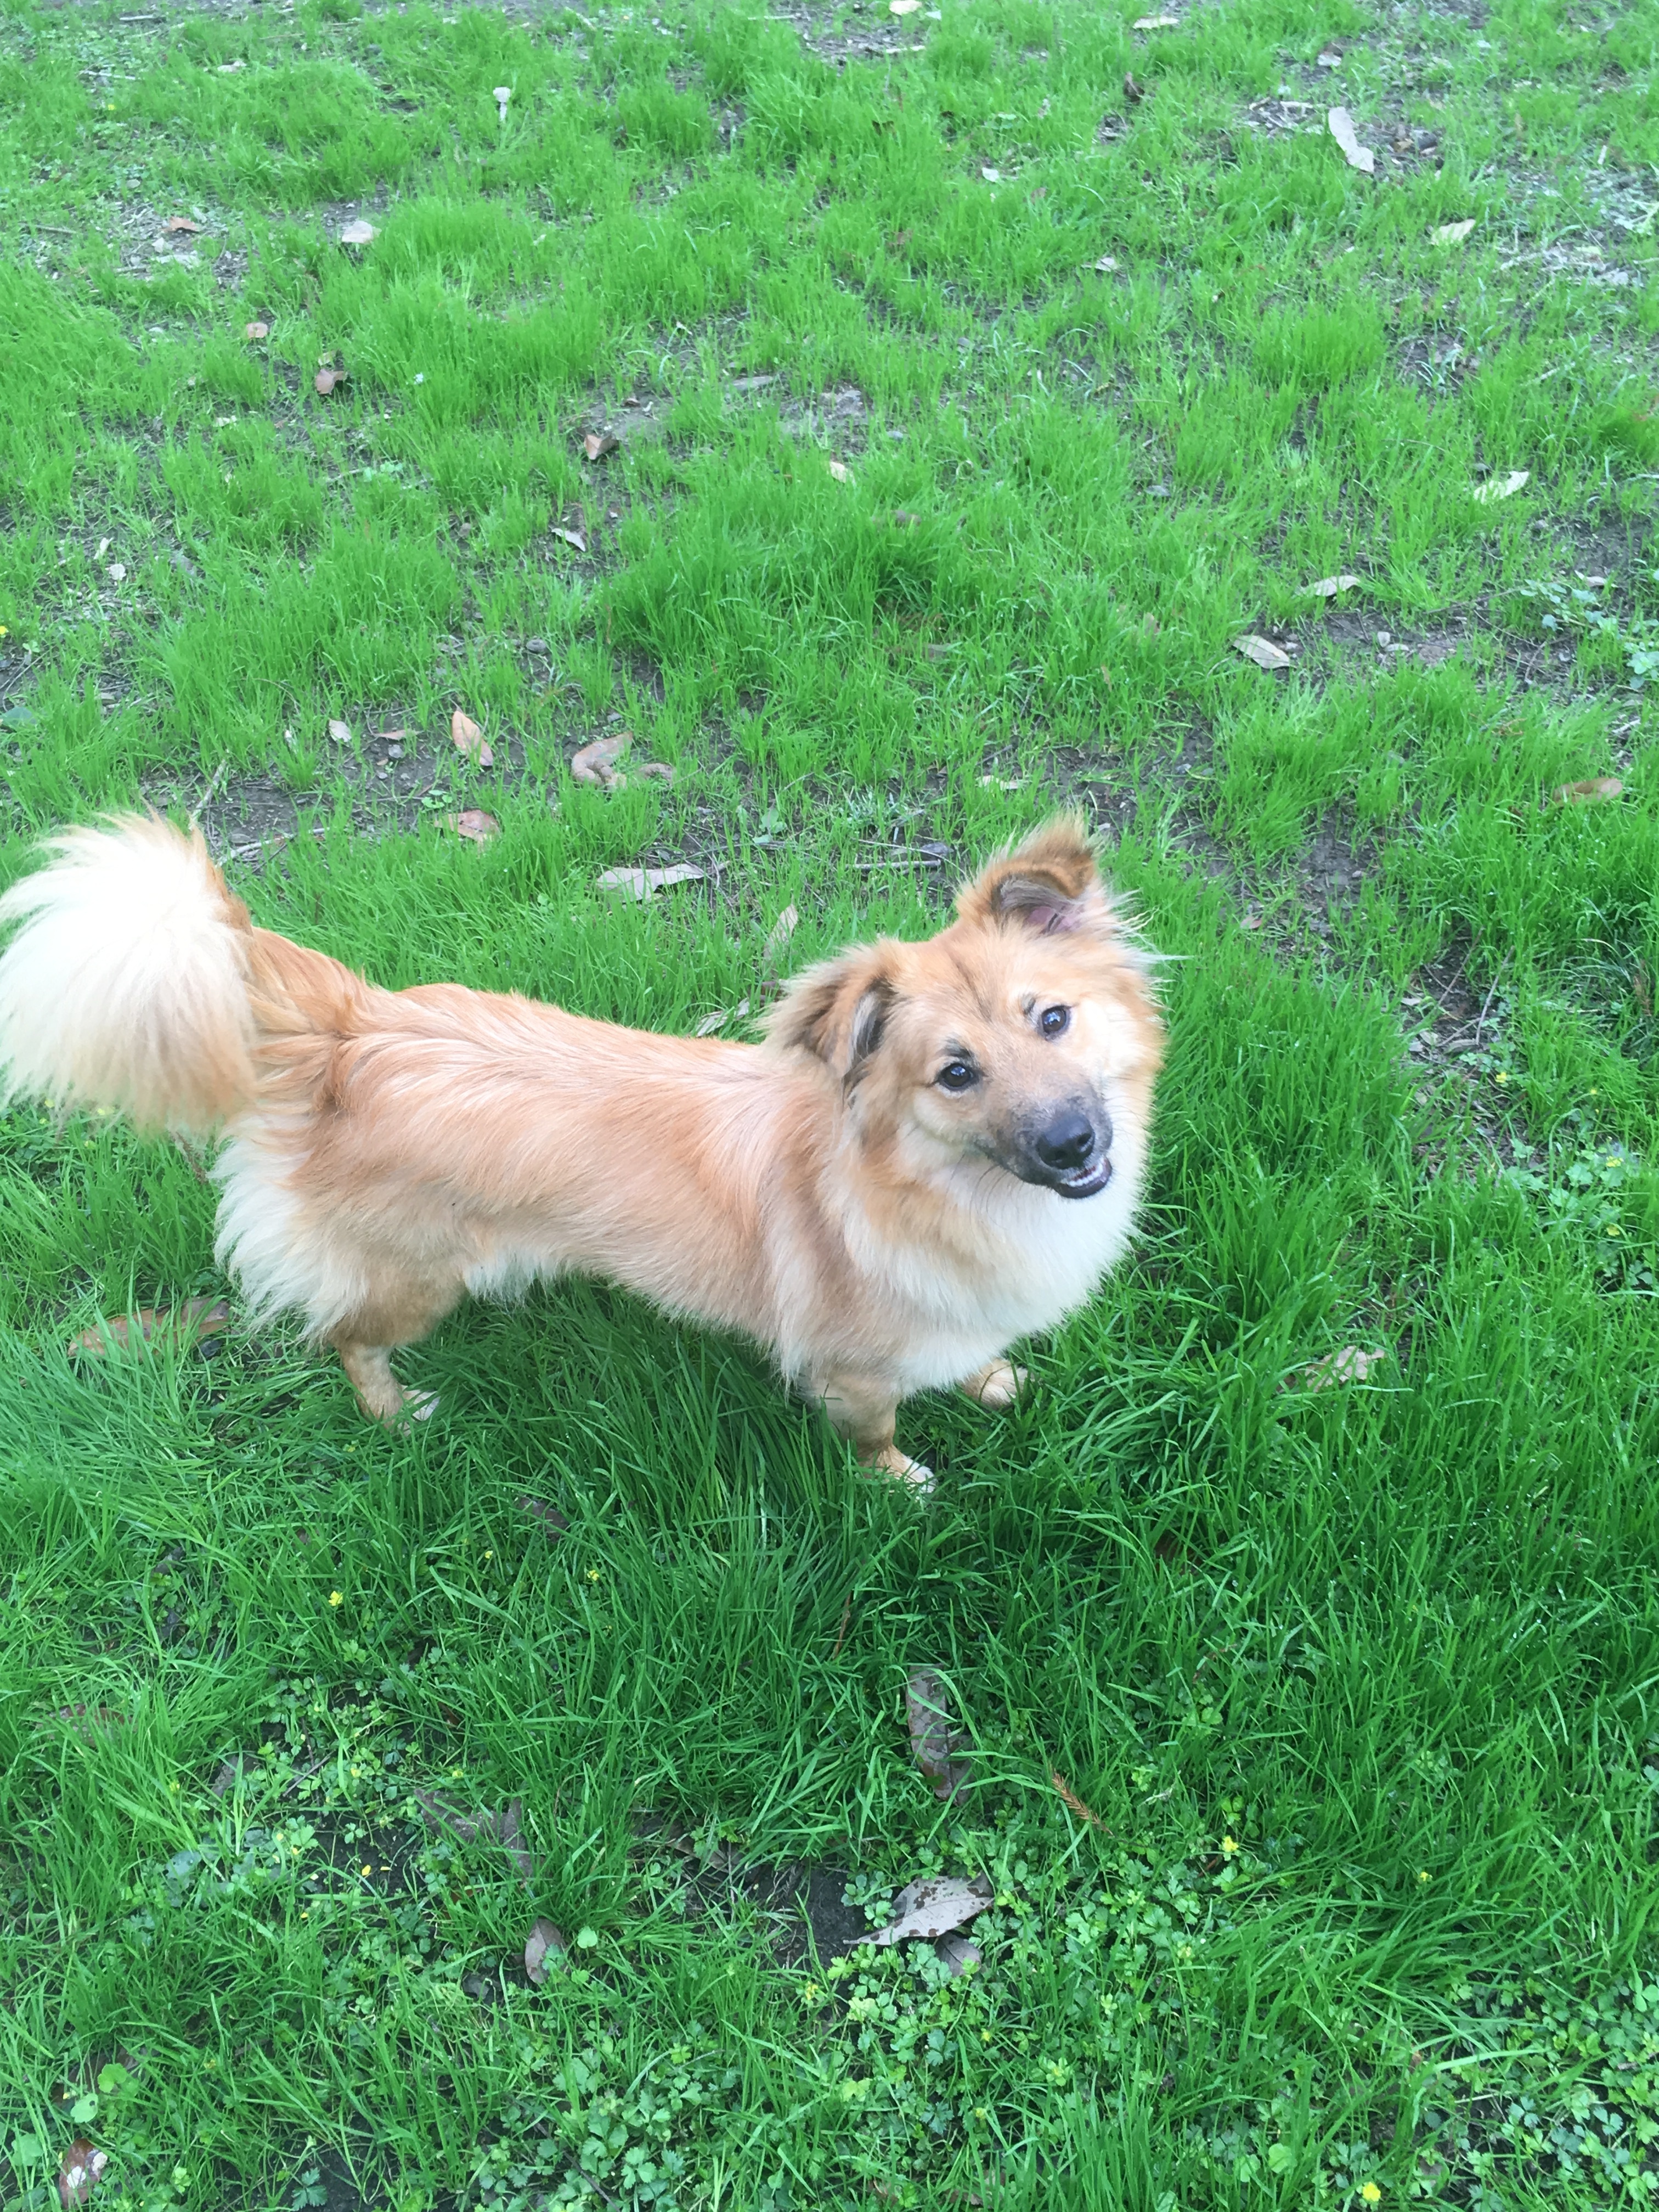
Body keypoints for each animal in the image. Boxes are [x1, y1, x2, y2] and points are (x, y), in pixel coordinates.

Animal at [0, 814, 1159, 1486]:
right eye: (954, 1074)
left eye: (1052, 1019)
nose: (1070, 1140)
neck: (943, 1192)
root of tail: (353, 1030)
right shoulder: (854, 1372)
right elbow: (873, 1435)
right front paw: (899, 1481)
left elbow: (971, 1358)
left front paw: (990, 1379)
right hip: (415, 1280)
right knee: (341, 1336)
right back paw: (395, 1414)